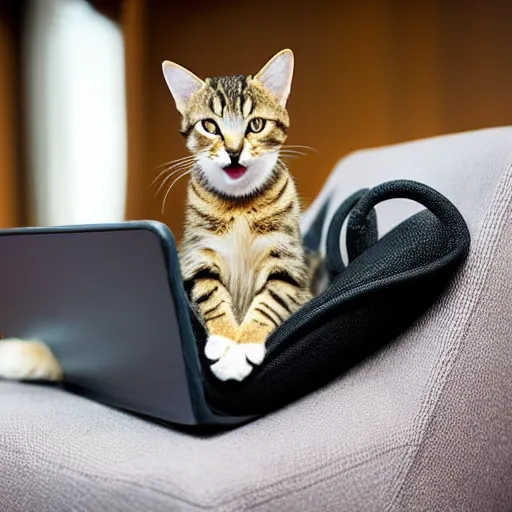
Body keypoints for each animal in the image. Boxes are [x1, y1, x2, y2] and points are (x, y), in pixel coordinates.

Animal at [0, 50, 312, 384]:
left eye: (255, 125)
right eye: (210, 126)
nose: (233, 151)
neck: (238, 204)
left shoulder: (289, 264)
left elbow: (272, 299)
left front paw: (242, 346)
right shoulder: (196, 256)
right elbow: (210, 292)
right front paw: (226, 338)